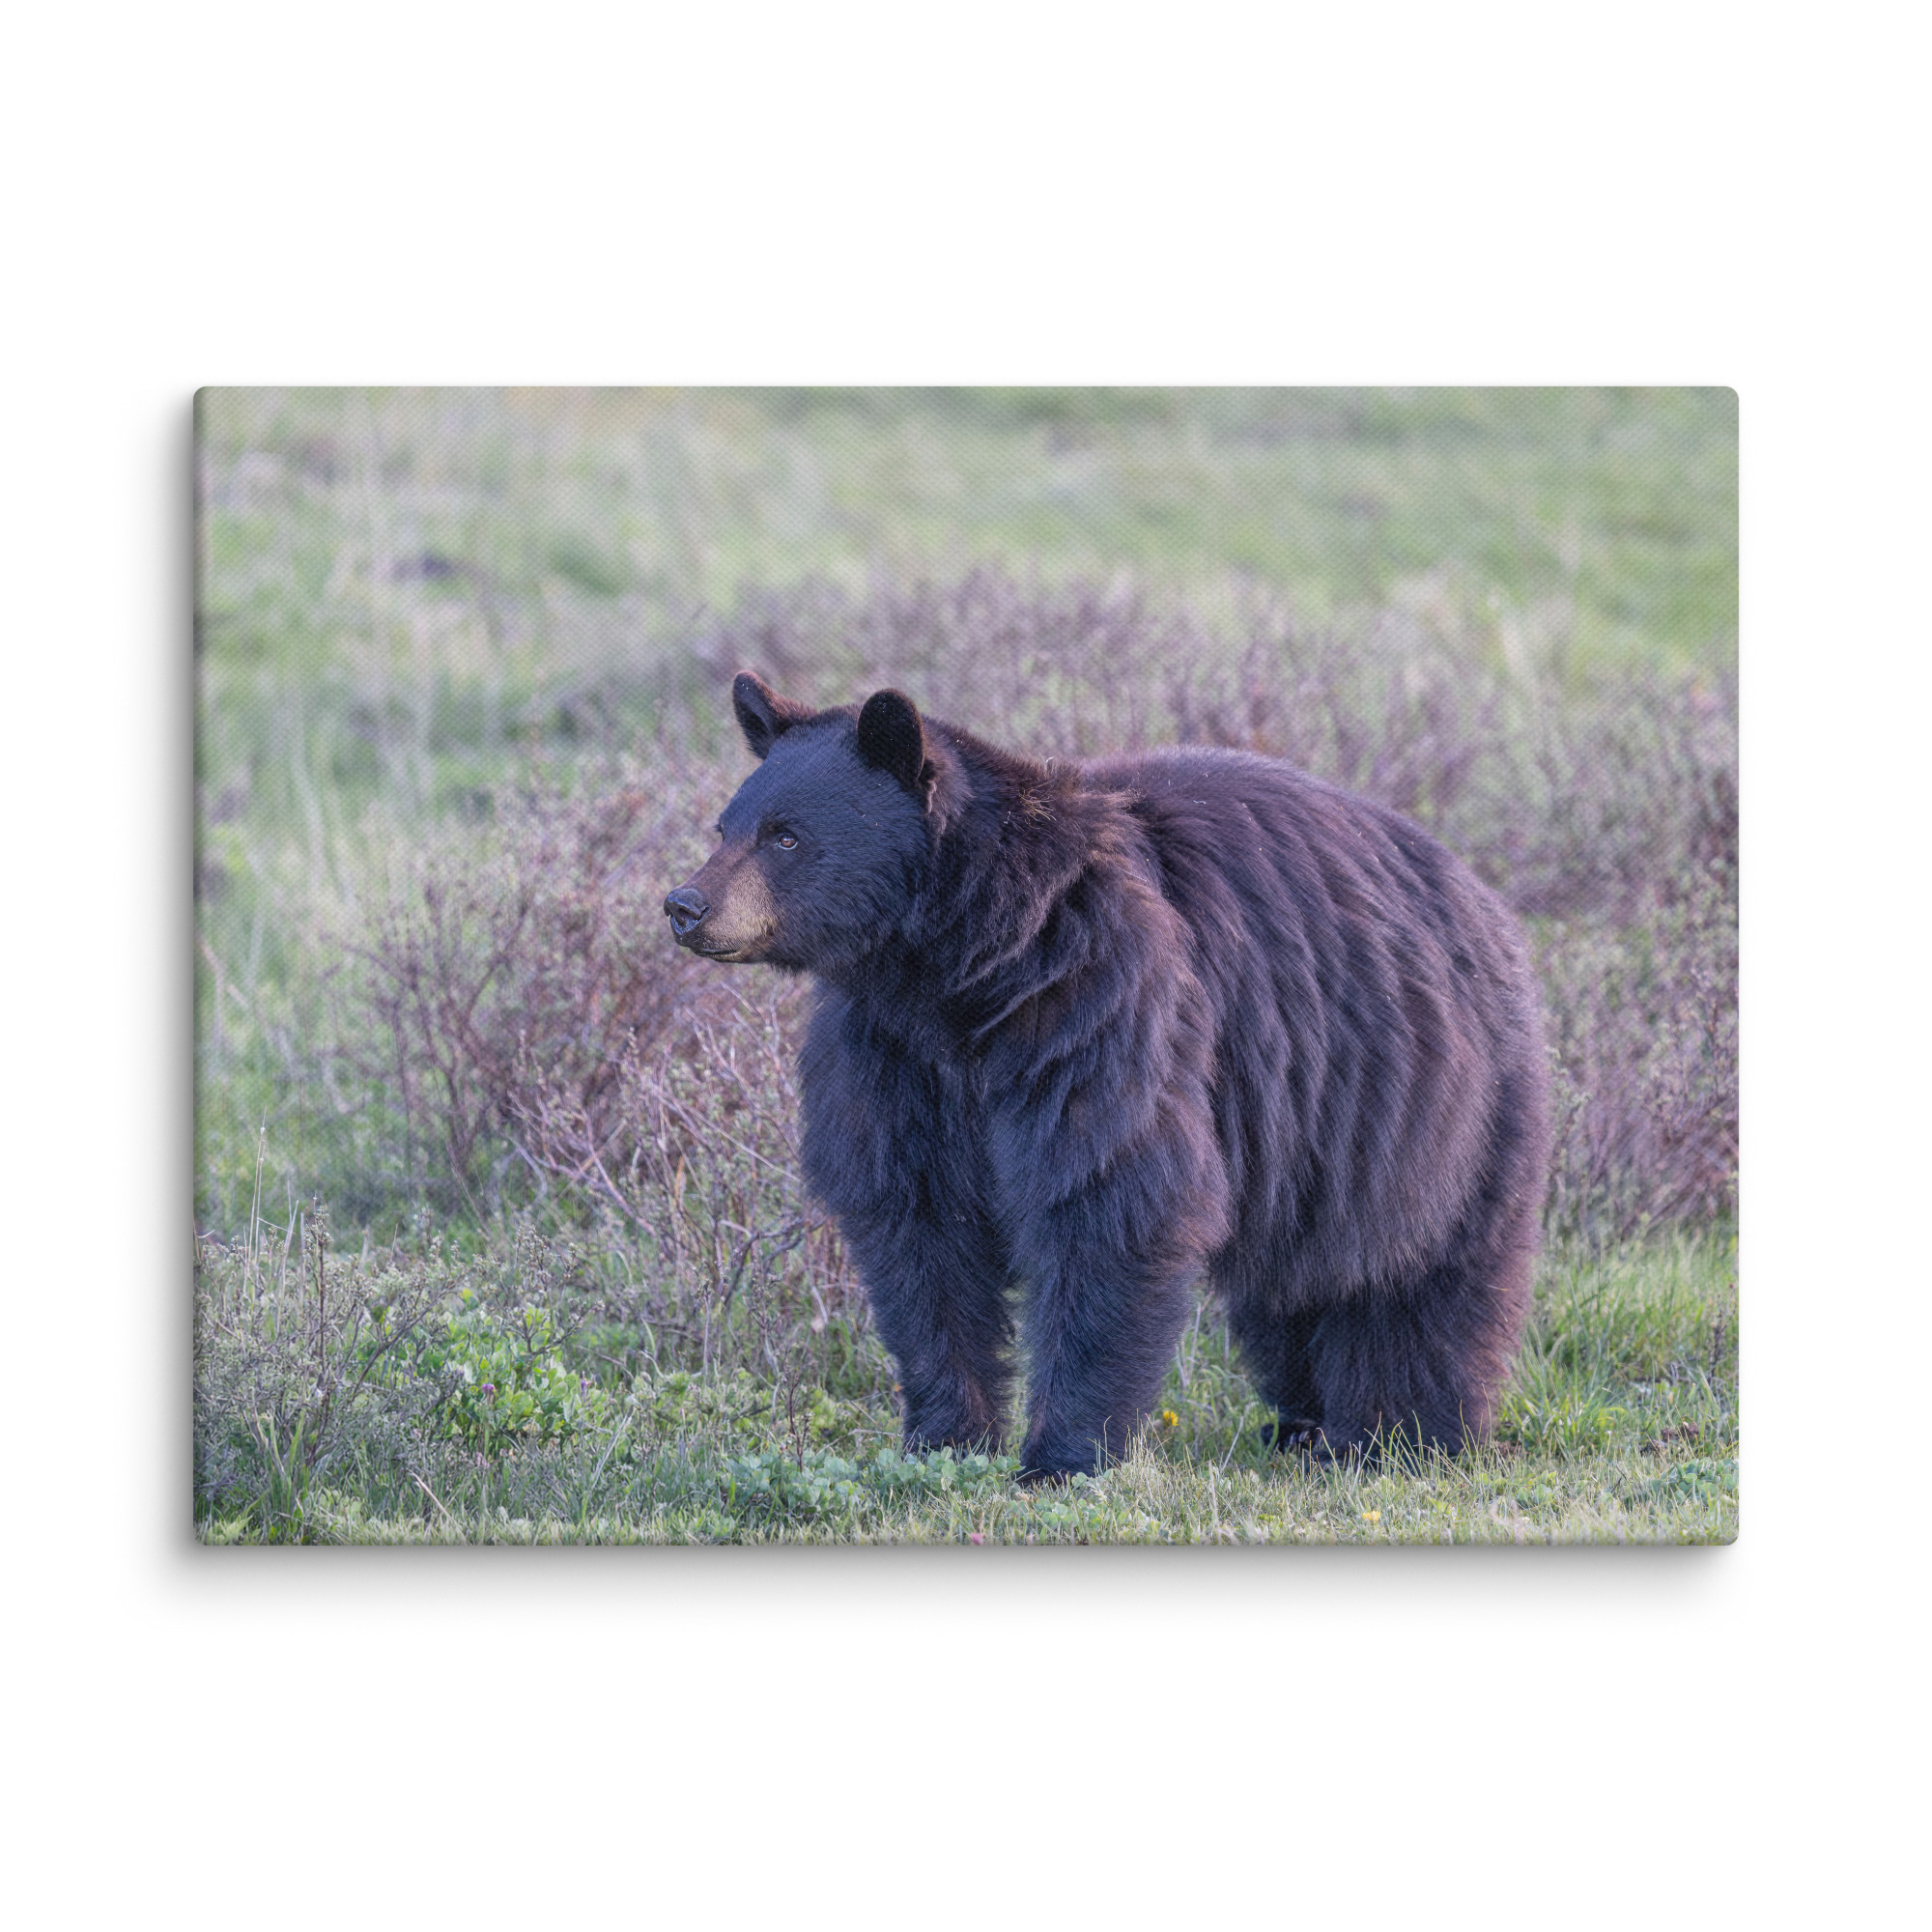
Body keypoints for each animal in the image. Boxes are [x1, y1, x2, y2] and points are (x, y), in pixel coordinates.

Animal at [663, 671, 1552, 1480]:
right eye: (726, 824)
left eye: (785, 836)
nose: (685, 905)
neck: (961, 968)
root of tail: (1482, 897)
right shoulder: (893, 1056)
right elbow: (918, 1227)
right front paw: (945, 1437)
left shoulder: (1097, 1003)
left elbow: (1108, 1198)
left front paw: (1061, 1456)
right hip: (1312, 1137)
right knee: (1295, 1287)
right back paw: (1302, 1424)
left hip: (1431, 1103)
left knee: (1421, 1277)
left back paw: (1401, 1433)